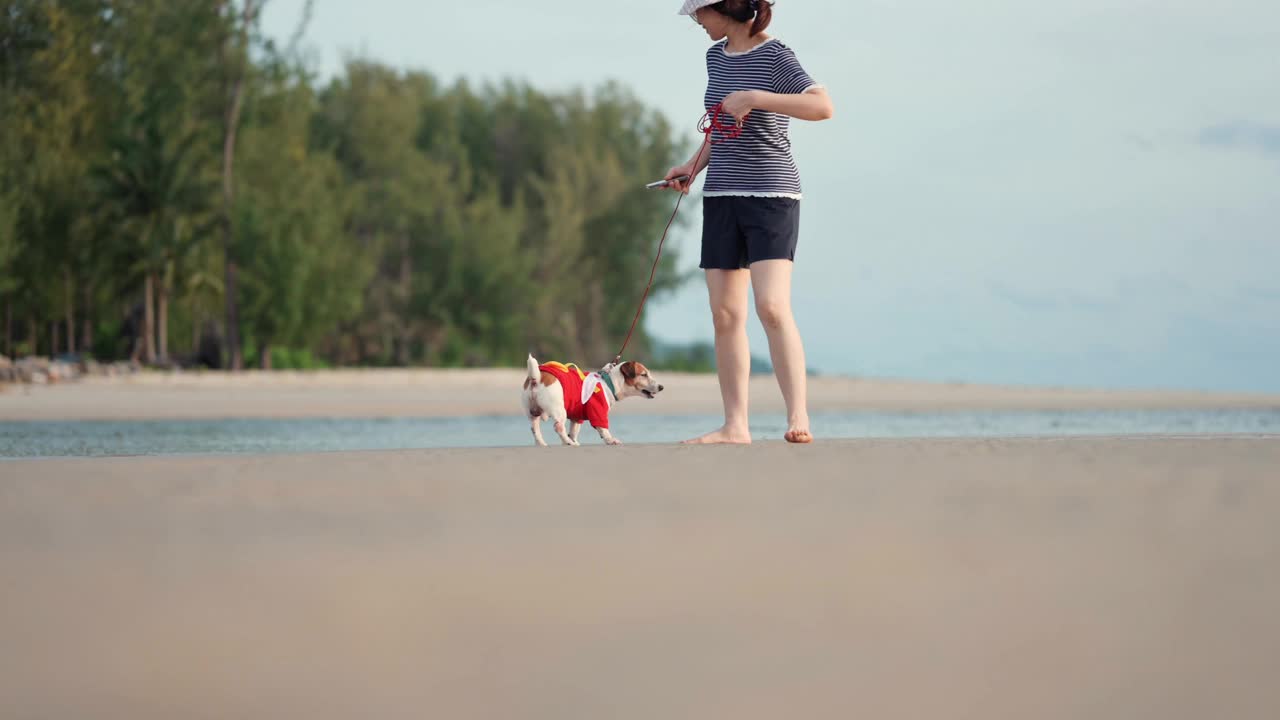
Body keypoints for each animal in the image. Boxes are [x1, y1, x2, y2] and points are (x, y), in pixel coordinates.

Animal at [519, 351, 665, 445]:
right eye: (644, 375)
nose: (662, 387)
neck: (609, 382)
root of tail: (536, 378)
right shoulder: (598, 410)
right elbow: (603, 427)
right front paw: (610, 440)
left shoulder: (576, 416)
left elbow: (574, 430)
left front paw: (574, 440)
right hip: (559, 410)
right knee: (558, 427)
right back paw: (568, 442)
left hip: (533, 412)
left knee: (535, 429)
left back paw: (543, 444)